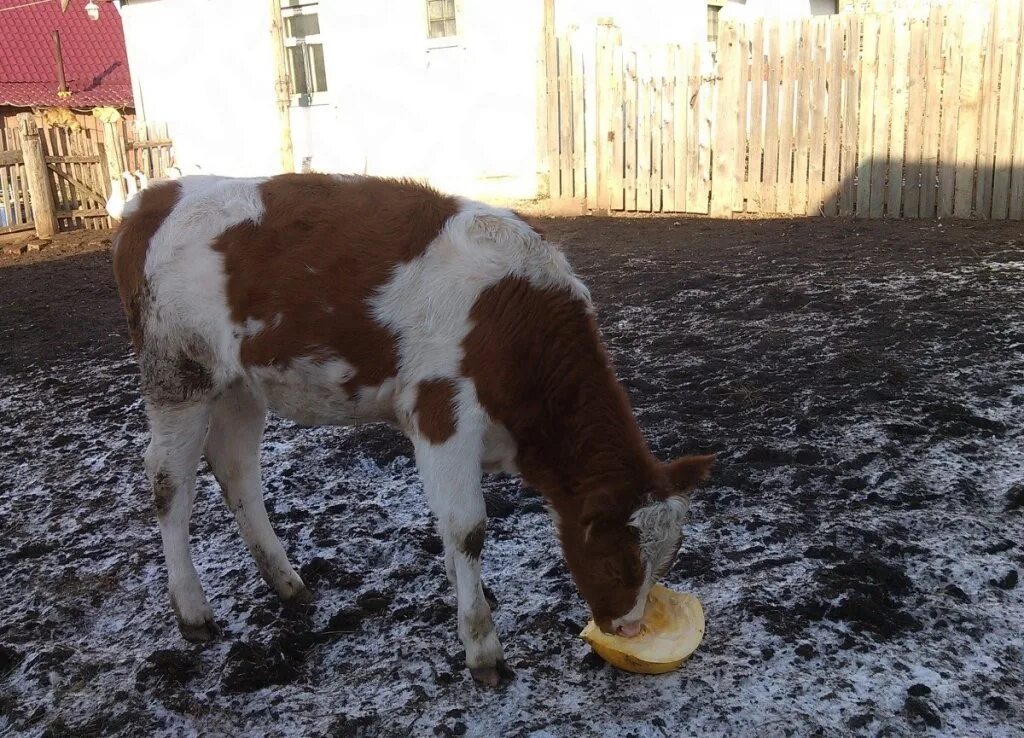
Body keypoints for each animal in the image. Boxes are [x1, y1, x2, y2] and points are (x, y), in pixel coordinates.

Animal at [110, 174, 712, 683]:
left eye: (667, 558)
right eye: (616, 560)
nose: (630, 628)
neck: (510, 318)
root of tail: (158, 195)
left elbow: (451, 529)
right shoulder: (441, 412)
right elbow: (468, 528)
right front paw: (483, 649)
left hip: (241, 385)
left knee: (236, 469)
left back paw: (286, 583)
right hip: (178, 374)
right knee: (170, 482)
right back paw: (193, 611)